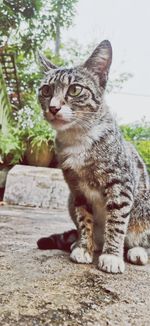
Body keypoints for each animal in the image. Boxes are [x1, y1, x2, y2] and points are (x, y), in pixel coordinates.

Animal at [37, 41, 149, 276]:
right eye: (45, 90)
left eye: (74, 89)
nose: (53, 107)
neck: (78, 138)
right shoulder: (76, 189)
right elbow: (83, 218)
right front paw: (84, 247)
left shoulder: (120, 184)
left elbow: (116, 222)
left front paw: (112, 256)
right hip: (69, 200)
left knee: (138, 238)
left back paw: (136, 250)